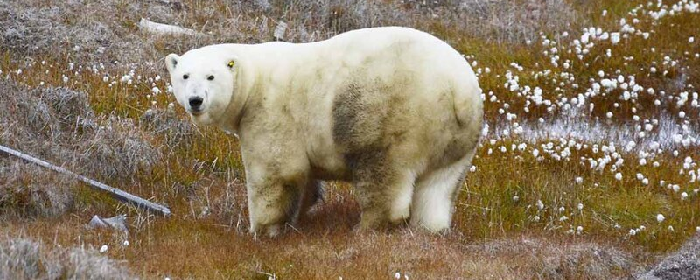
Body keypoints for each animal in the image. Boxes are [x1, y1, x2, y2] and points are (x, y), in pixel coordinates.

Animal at [165, 26, 482, 237]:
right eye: (184, 75)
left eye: (211, 76)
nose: (195, 100)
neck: (253, 80)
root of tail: (459, 90)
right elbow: (303, 177)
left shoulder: (269, 112)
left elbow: (277, 172)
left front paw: (261, 230)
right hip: (457, 138)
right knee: (439, 185)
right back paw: (430, 229)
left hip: (392, 116)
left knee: (383, 174)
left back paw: (366, 227)